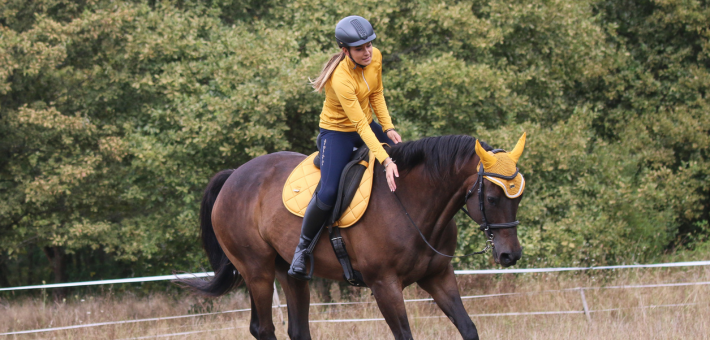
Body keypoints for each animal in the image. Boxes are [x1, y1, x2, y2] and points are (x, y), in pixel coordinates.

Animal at [182, 133, 528, 340]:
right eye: (493, 199)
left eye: (518, 198)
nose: (510, 255)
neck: (411, 202)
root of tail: (234, 176)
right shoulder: (384, 285)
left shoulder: (438, 276)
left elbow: (468, 328)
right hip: (258, 272)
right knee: (263, 328)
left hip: (290, 274)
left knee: (297, 329)